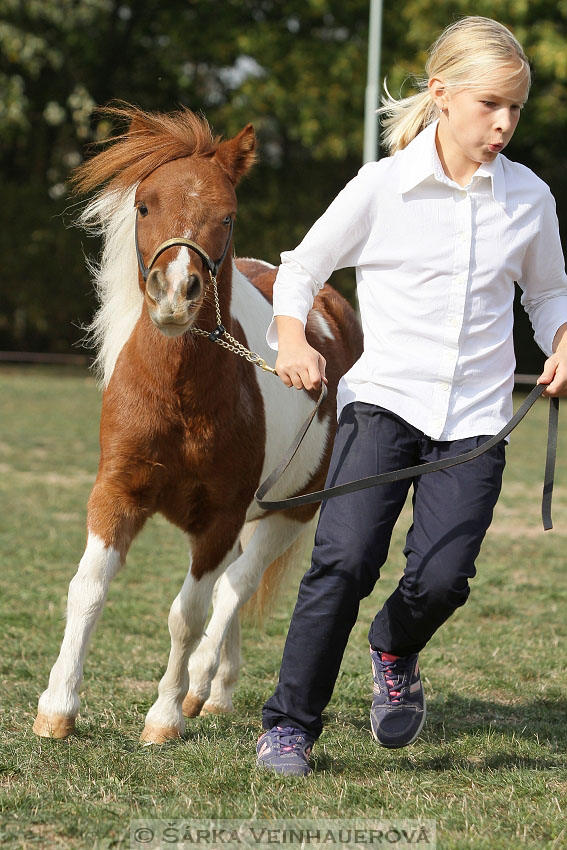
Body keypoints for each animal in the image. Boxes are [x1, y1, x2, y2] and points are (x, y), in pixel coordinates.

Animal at [33, 106, 364, 744]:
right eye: (143, 206)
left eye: (227, 214)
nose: (174, 294)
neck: (181, 397)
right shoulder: (116, 494)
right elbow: (87, 589)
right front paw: (57, 707)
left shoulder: (220, 518)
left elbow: (188, 614)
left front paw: (163, 716)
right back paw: (216, 692)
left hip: (289, 513)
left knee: (234, 589)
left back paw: (200, 689)